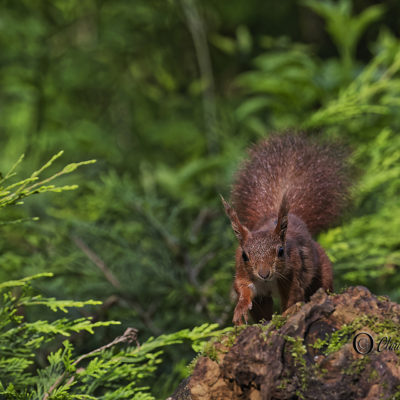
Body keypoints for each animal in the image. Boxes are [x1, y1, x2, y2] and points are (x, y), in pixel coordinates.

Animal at [222, 134, 350, 324]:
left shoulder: (292, 277)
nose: (264, 273)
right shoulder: (242, 271)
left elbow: (292, 299)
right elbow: (242, 288)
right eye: (245, 255)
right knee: (263, 309)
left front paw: (288, 315)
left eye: (281, 251)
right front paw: (241, 308)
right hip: (263, 299)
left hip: (322, 269)